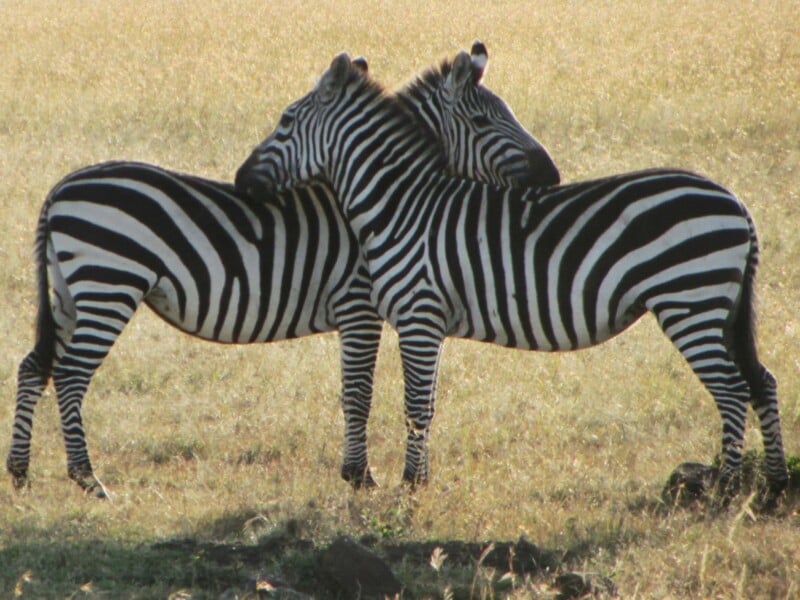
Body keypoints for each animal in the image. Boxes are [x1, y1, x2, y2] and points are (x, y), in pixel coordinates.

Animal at [7, 43, 560, 498]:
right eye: (486, 123)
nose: (553, 177)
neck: (385, 198)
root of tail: (61, 188)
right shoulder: (360, 306)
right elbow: (358, 391)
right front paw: (359, 477)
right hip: (109, 285)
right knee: (70, 375)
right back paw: (88, 479)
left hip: (70, 293)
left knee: (35, 366)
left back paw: (20, 472)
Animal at [235, 53, 790, 506]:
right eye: (483, 118)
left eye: (285, 120)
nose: (240, 181)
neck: (402, 204)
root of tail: (735, 202)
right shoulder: (427, 322)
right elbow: (425, 402)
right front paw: (420, 479)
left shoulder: (416, 315)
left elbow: (413, 404)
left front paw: (409, 486)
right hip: (721, 307)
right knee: (760, 380)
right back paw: (775, 486)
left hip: (690, 301)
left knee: (732, 390)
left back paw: (726, 489)